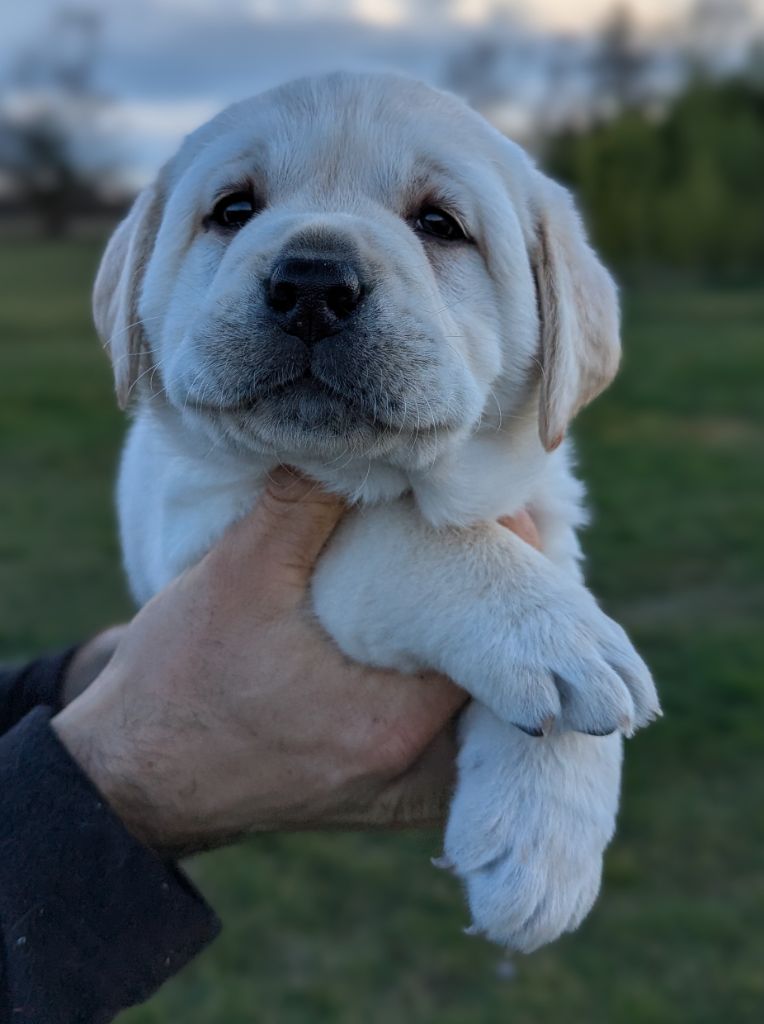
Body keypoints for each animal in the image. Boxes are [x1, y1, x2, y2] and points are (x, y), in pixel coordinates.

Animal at [93, 70, 655, 950]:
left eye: (439, 223)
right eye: (232, 209)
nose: (313, 284)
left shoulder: (542, 502)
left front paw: (542, 832)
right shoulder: (194, 519)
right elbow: (399, 535)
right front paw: (550, 631)